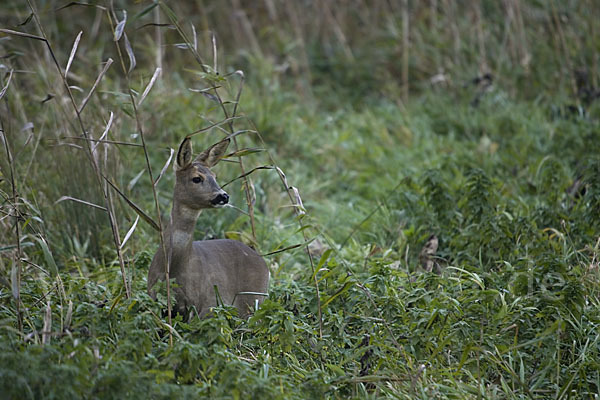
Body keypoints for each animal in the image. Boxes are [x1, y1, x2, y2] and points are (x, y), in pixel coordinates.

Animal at [148, 138, 270, 318]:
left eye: (215, 176)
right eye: (197, 178)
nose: (223, 196)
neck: (173, 267)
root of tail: (264, 264)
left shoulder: (201, 304)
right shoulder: (153, 296)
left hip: (252, 299)